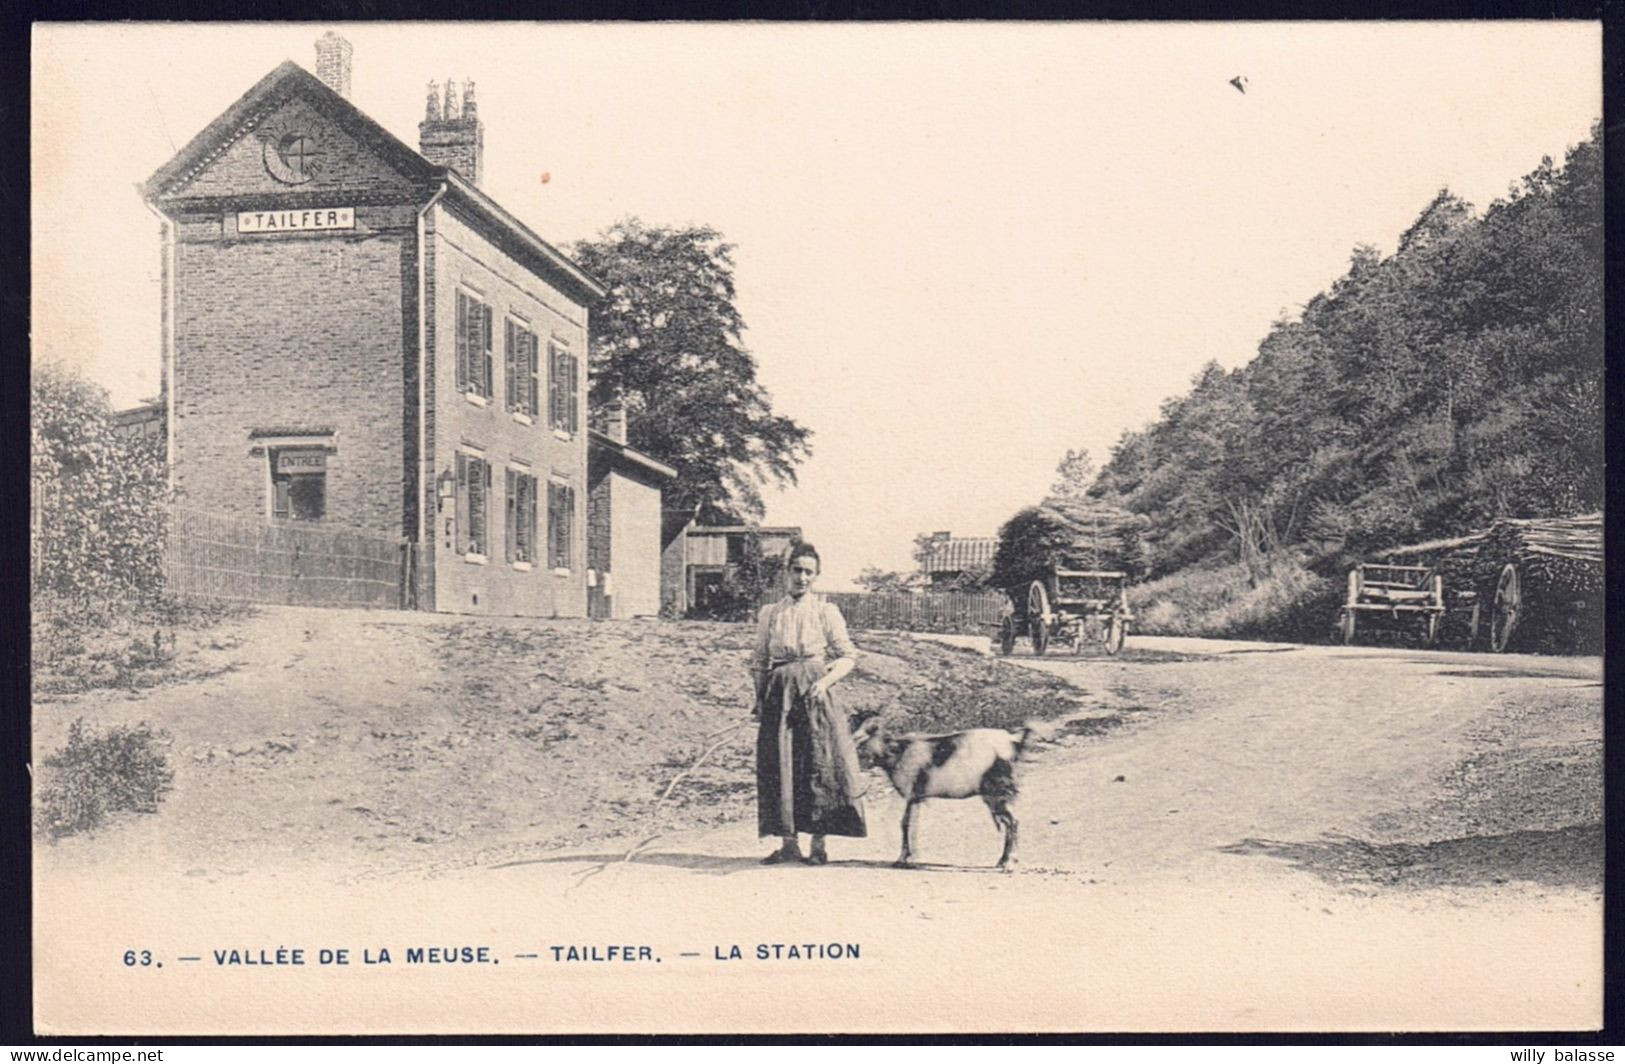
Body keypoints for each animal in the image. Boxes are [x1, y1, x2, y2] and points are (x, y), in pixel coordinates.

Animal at [845, 708, 1046, 877]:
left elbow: (906, 824)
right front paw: (908, 859)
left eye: (872, 728)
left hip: (999, 790)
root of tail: (1013, 743)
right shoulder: (916, 797)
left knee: (1013, 822)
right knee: (1008, 822)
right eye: (855, 723)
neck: (899, 752)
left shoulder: (912, 793)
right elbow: (910, 824)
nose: (853, 740)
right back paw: (1002, 861)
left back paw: (1010, 864)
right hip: (991, 795)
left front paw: (904, 860)